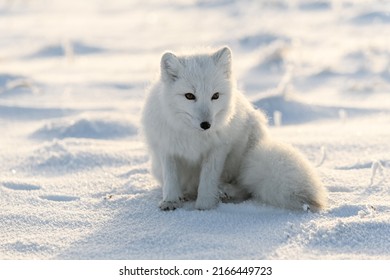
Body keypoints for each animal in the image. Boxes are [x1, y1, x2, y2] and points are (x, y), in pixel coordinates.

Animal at [142, 47, 328, 211]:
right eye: (189, 96)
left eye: (215, 96)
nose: (206, 125)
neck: (194, 135)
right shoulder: (166, 148)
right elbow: (171, 179)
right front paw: (171, 201)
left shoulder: (218, 149)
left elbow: (208, 180)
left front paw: (204, 206)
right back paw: (189, 194)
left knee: (245, 188)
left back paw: (225, 192)